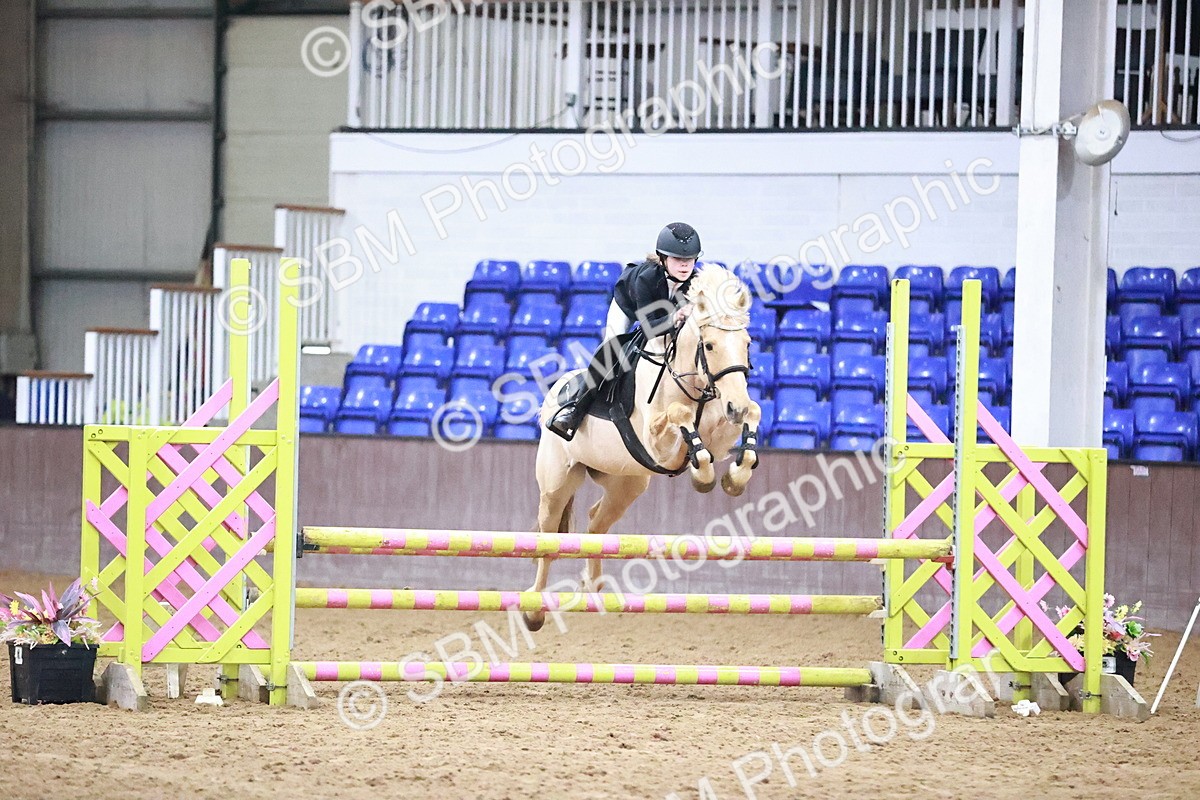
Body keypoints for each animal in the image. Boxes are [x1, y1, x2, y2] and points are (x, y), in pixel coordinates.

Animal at [526, 265, 762, 630]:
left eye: (746, 343)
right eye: (709, 345)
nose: (734, 406)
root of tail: (556, 389)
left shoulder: (721, 435)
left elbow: (753, 415)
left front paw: (731, 478)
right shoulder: (656, 443)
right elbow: (679, 417)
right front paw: (704, 477)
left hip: (627, 483)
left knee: (596, 524)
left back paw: (593, 586)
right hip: (557, 484)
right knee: (548, 537)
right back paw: (534, 610)